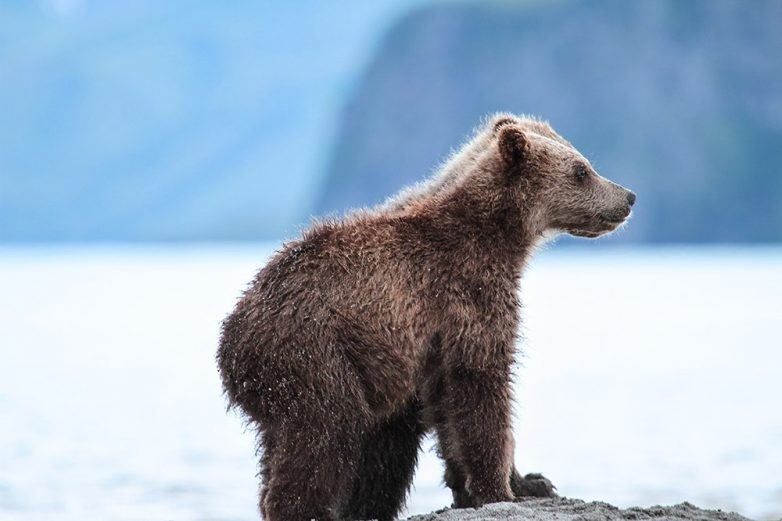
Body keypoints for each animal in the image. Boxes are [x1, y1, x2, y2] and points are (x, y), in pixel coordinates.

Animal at [216, 115, 636, 520]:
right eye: (581, 169)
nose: (628, 197)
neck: (498, 238)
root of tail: (231, 343)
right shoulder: (466, 298)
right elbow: (482, 388)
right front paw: (500, 489)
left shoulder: (435, 343)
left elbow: (448, 406)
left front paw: (525, 482)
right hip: (313, 355)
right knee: (327, 432)